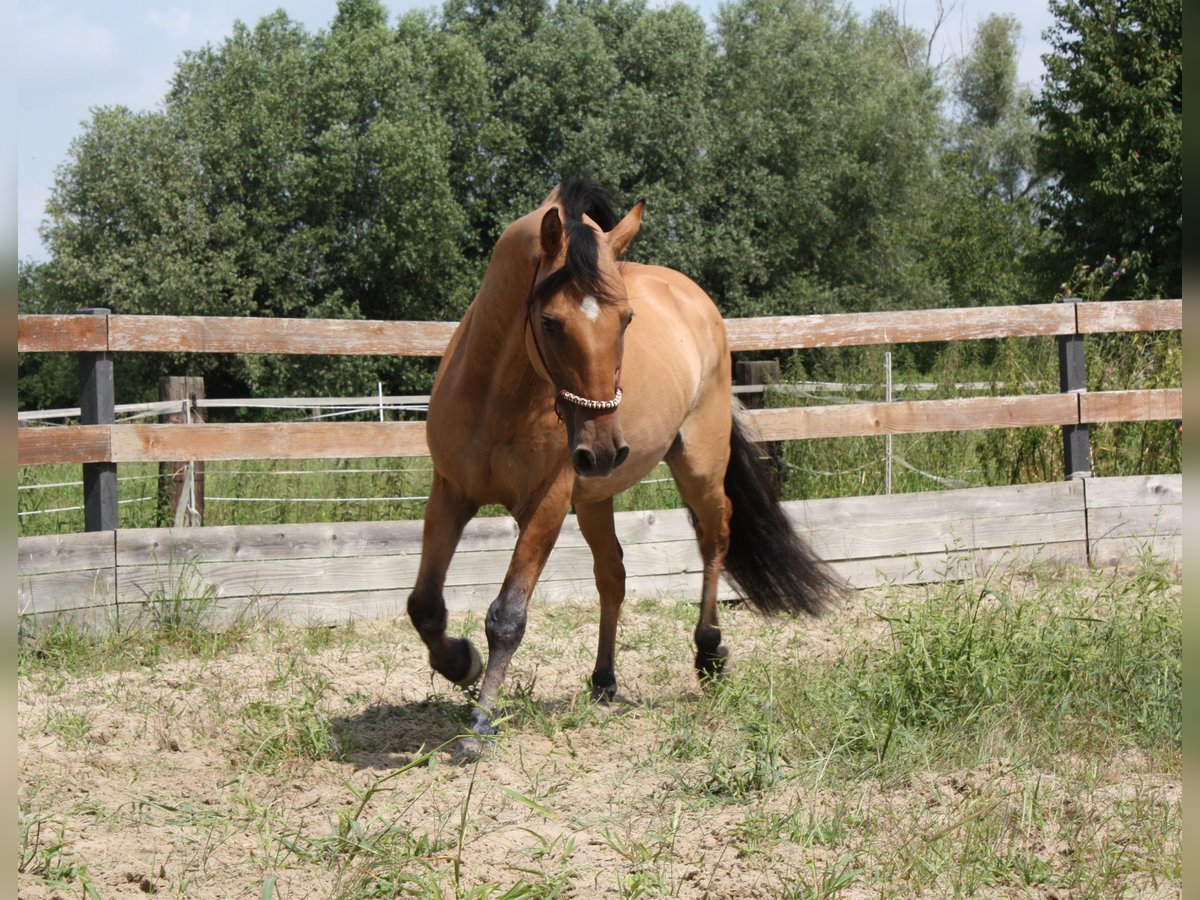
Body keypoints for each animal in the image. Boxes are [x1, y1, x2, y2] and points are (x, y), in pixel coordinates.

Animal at [408, 176, 840, 748]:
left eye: (627, 319)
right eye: (550, 322)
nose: (604, 449)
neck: (497, 397)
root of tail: (696, 301)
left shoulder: (545, 505)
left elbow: (508, 615)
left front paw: (480, 722)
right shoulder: (451, 493)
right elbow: (425, 606)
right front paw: (462, 663)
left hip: (697, 466)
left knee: (715, 535)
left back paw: (708, 653)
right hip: (594, 497)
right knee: (612, 573)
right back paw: (604, 680)